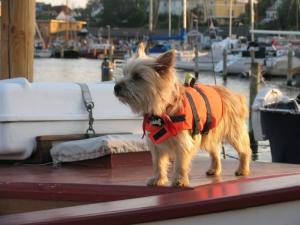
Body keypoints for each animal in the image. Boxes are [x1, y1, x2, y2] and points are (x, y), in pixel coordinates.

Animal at [113, 43, 252, 187]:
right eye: (124, 73)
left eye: (137, 77)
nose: (116, 87)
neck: (163, 110)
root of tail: (235, 95)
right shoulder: (156, 144)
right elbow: (158, 163)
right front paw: (157, 179)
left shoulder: (183, 142)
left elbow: (180, 163)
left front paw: (179, 180)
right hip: (209, 133)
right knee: (215, 151)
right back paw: (214, 169)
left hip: (234, 132)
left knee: (244, 150)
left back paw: (243, 169)